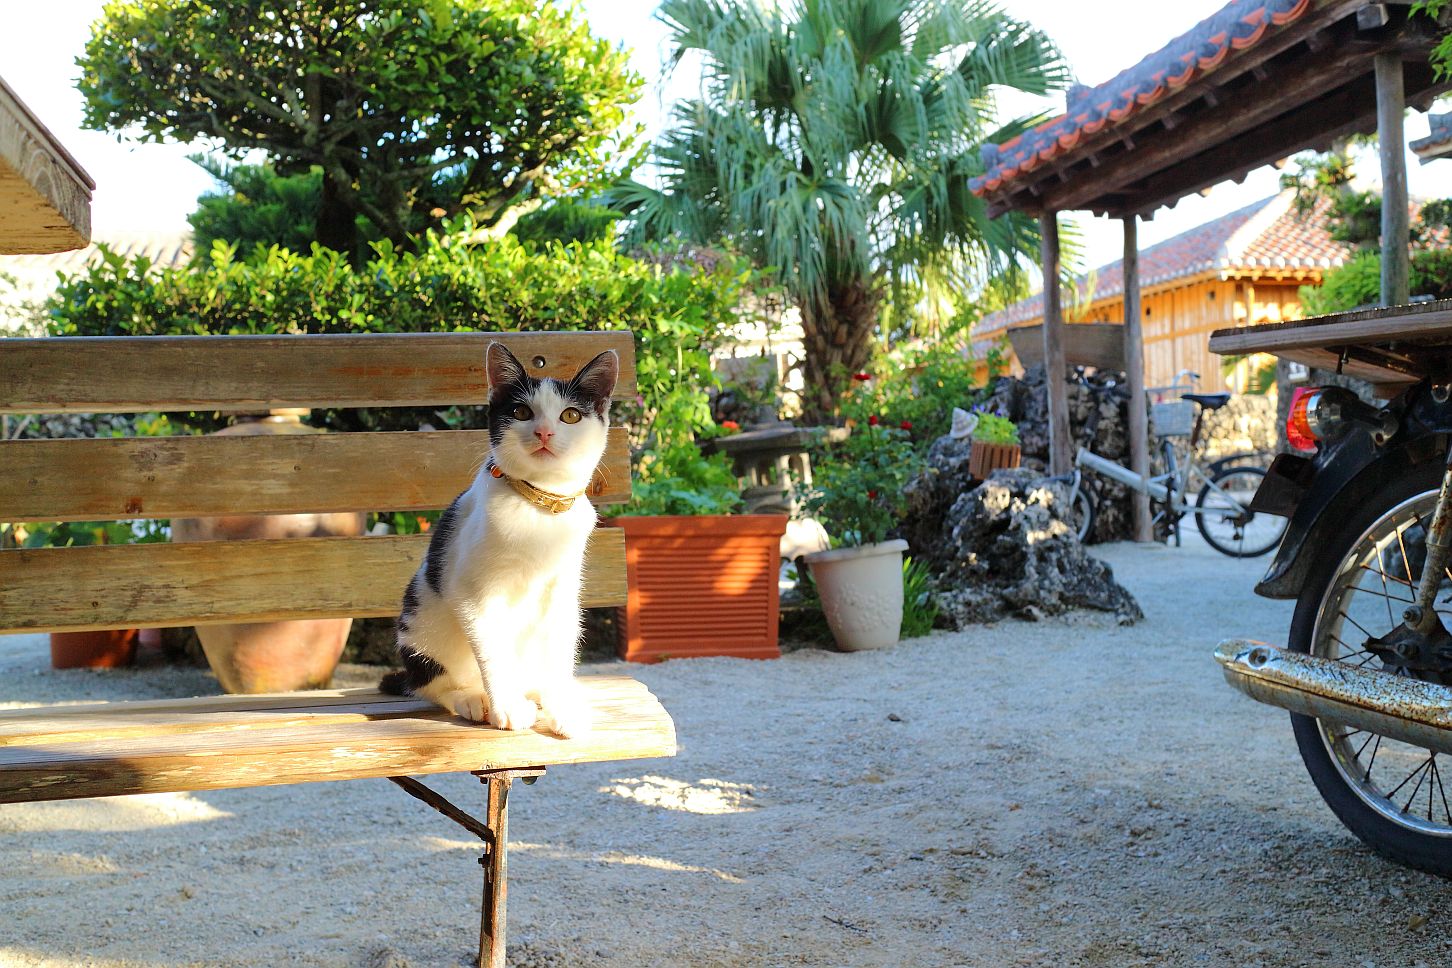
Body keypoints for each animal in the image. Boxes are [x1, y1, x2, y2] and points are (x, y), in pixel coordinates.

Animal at [379, 341, 618, 738]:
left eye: (570, 416)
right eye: (521, 412)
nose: (543, 433)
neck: (539, 505)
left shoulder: (562, 588)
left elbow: (559, 649)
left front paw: (562, 707)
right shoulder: (472, 591)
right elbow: (492, 648)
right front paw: (506, 707)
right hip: (423, 623)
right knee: (432, 682)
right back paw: (474, 699)